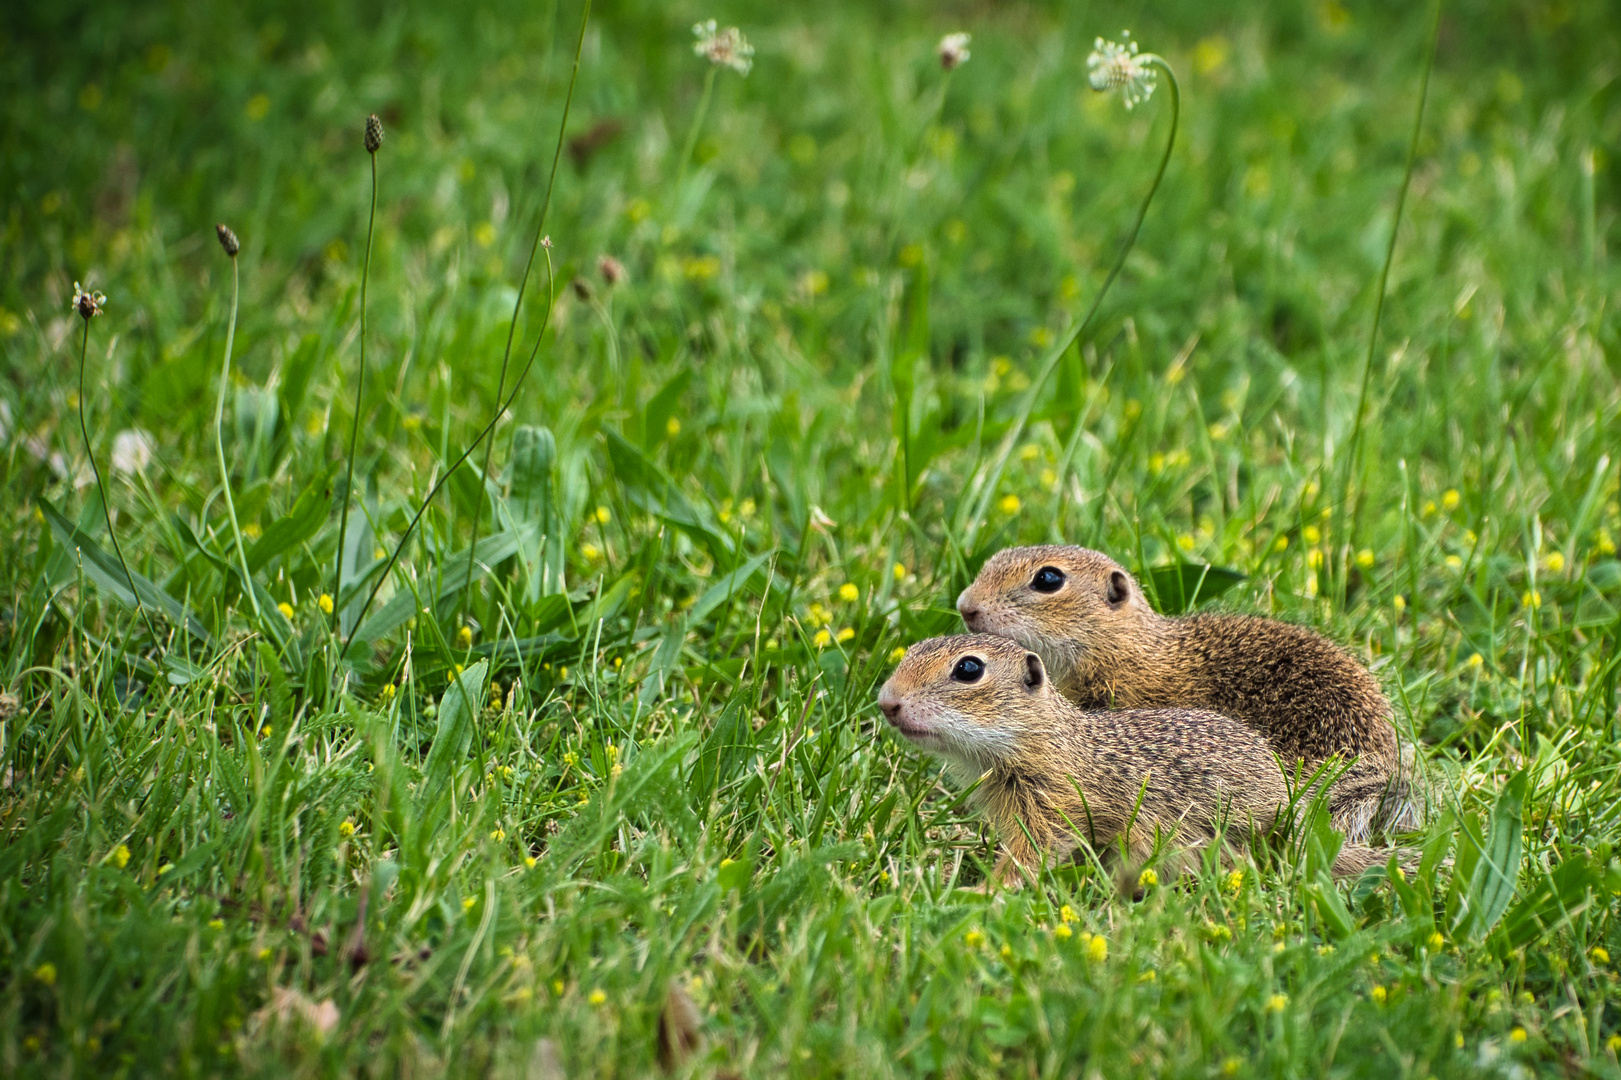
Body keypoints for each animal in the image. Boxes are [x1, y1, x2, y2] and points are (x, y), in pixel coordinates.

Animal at [875, 632, 1394, 882]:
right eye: (912, 651)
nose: (886, 703)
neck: (1049, 739)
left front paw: (983, 891)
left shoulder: (1053, 805)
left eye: (968, 669)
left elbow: (1032, 853)